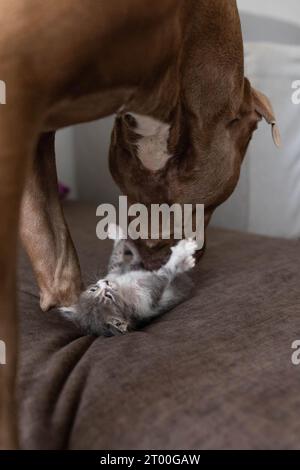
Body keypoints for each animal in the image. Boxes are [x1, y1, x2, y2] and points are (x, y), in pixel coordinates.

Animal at [60, 226, 197, 336]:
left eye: (93, 289)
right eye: (108, 296)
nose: (105, 283)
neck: (122, 288)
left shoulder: (114, 273)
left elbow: (115, 259)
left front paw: (117, 233)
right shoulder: (149, 294)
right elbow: (166, 272)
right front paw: (182, 251)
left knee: (136, 259)